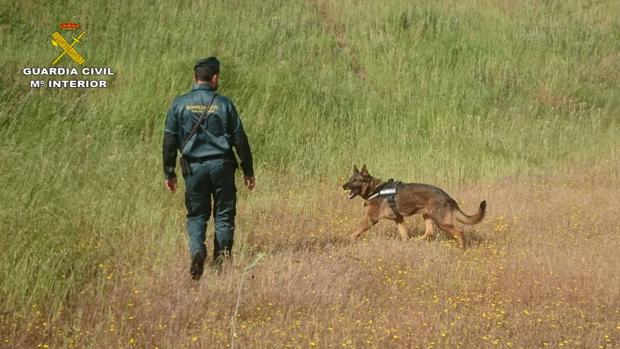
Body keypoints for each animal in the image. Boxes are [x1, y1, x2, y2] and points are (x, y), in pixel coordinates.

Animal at [342, 164, 486, 247]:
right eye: (350, 179)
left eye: (355, 180)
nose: (343, 186)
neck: (375, 189)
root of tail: (448, 197)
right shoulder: (398, 218)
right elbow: (404, 235)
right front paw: (406, 242)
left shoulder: (371, 219)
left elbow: (357, 231)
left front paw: (346, 240)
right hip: (427, 216)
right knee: (429, 232)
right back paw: (416, 240)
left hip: (441, 222)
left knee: (459, 232)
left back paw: (461, 248)